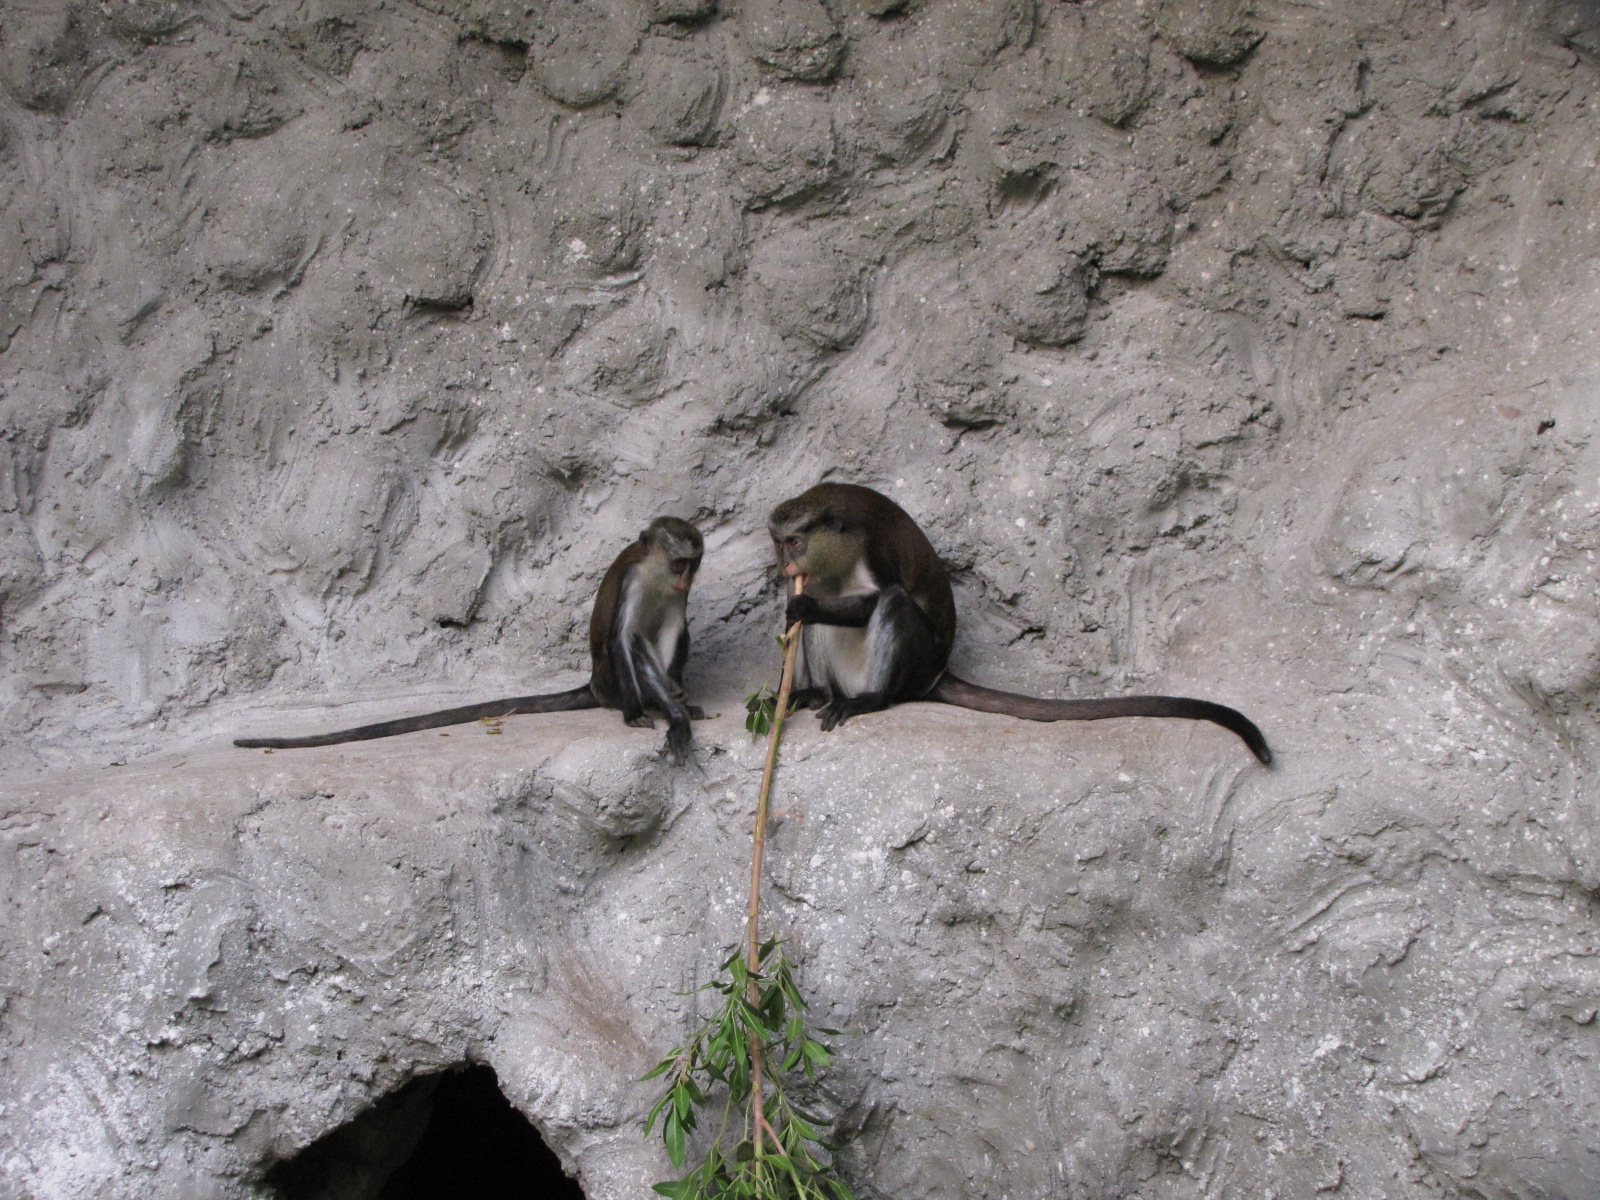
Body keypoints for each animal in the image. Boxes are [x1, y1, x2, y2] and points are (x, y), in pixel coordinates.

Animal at [234, 517, 706, 762]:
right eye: (679, 562)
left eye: (694, 564)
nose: (686, 580)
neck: (658, 577)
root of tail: (593, 684)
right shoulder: (632, 580)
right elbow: (624, 639)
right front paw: (641, 714)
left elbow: (673, 630)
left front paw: (680, 704)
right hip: (609, 677)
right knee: (632, 647)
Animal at [767, 483, 1271, 764]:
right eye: (779, 543)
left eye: (795, 541)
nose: (786, 567)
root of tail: (936, 674)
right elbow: (804, 607)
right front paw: (797, 618)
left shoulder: (871, 547)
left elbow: (877, 596)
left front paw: (808, 608)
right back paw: (818, 693)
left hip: (913, 665)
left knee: (893, 604)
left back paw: (868, 699)